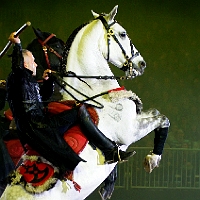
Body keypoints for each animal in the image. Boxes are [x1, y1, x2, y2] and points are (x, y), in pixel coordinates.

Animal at [0, 4, 170, 200]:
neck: (95, 91)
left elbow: (157, 113)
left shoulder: (136, 119)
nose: (141, 64)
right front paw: (152, 159)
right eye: (122, 34)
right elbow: (163, 119)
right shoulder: (129, 131)